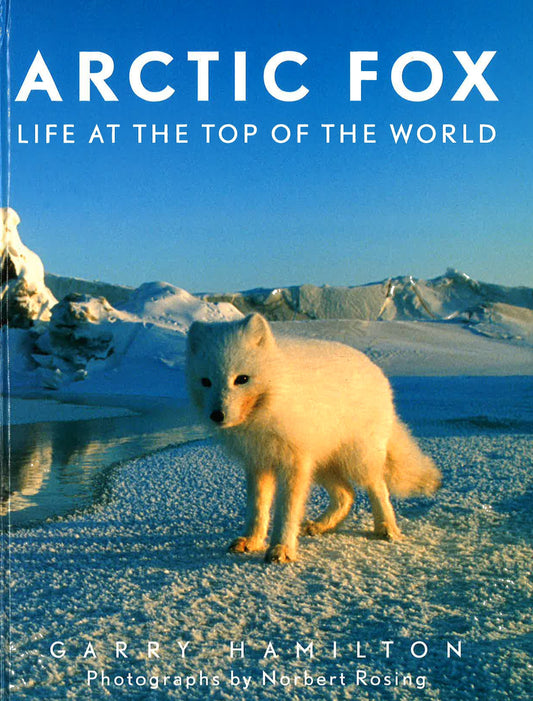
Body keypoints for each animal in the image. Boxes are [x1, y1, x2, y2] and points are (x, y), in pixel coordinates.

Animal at [186, 313, 441, 564]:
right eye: (206, 382)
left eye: (242, 379)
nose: (217, 415)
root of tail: (374, 368)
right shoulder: (258, 463)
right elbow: (257, 508)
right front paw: (253, 540)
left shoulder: (294, 462)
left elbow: (287, 510)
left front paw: (281, 548)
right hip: (320, 462)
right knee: (347, 494)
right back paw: (320, 526)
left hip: (357, 458)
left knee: (377, 486)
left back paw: (387, 528)